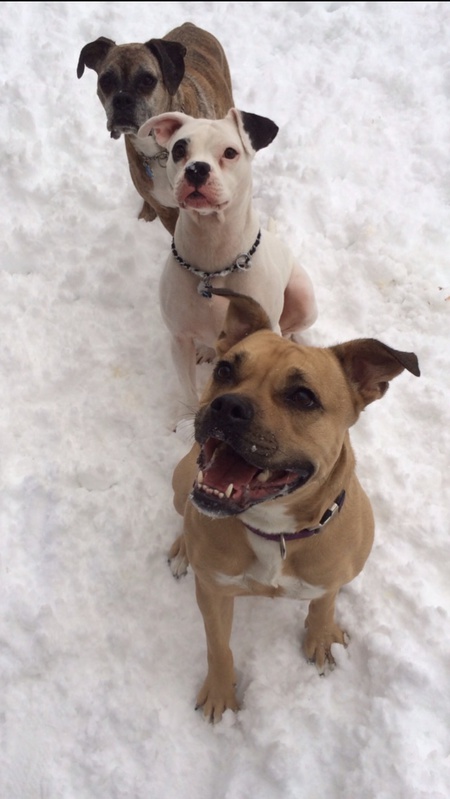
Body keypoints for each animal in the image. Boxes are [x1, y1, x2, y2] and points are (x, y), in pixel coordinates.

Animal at [76, 22, 234, 234]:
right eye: (105, 81)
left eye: (147, 80)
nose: (122, 99)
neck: (159, 149)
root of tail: (190, 24)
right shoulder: (167, 212)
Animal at [137, 109, 316, 410]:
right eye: (179, 149)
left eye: (230, 152)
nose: (196, 169)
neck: (213, 258)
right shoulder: (179, 339)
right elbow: (190, 393)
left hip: (304, 301)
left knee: (289, 326)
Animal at [169, 290, 418, 720]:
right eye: (224, 370)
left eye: (303, 397)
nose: (227, 406)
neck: (275, 531)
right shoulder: (214, 593)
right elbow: (218, 646)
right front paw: (220, 692)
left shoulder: (331, 575)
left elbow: (324, 603)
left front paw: (321, 638)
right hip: (181, 480)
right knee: (183, 512)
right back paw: (184, 548)